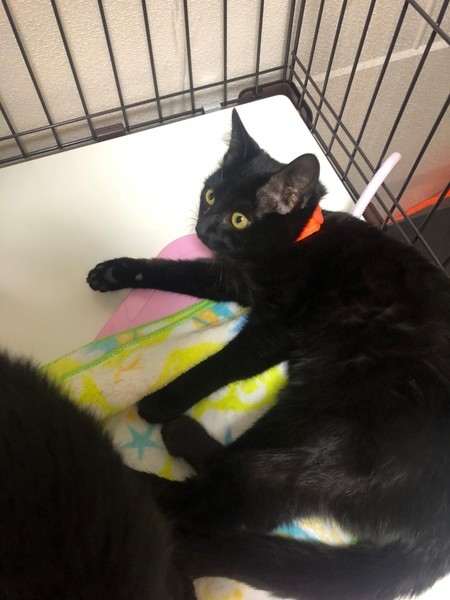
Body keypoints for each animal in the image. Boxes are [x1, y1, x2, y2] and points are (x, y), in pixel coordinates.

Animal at [87, 109, 450, 599]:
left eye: (240, 219)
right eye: (210, 195)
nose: (204, 228)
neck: (297, 241)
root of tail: (436, 541)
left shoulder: (274, 329)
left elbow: (219, 365)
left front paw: (160, 402)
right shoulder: (234, 278)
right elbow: (177, 272)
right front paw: (115, 271)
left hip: (331, 432)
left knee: (223, 499)